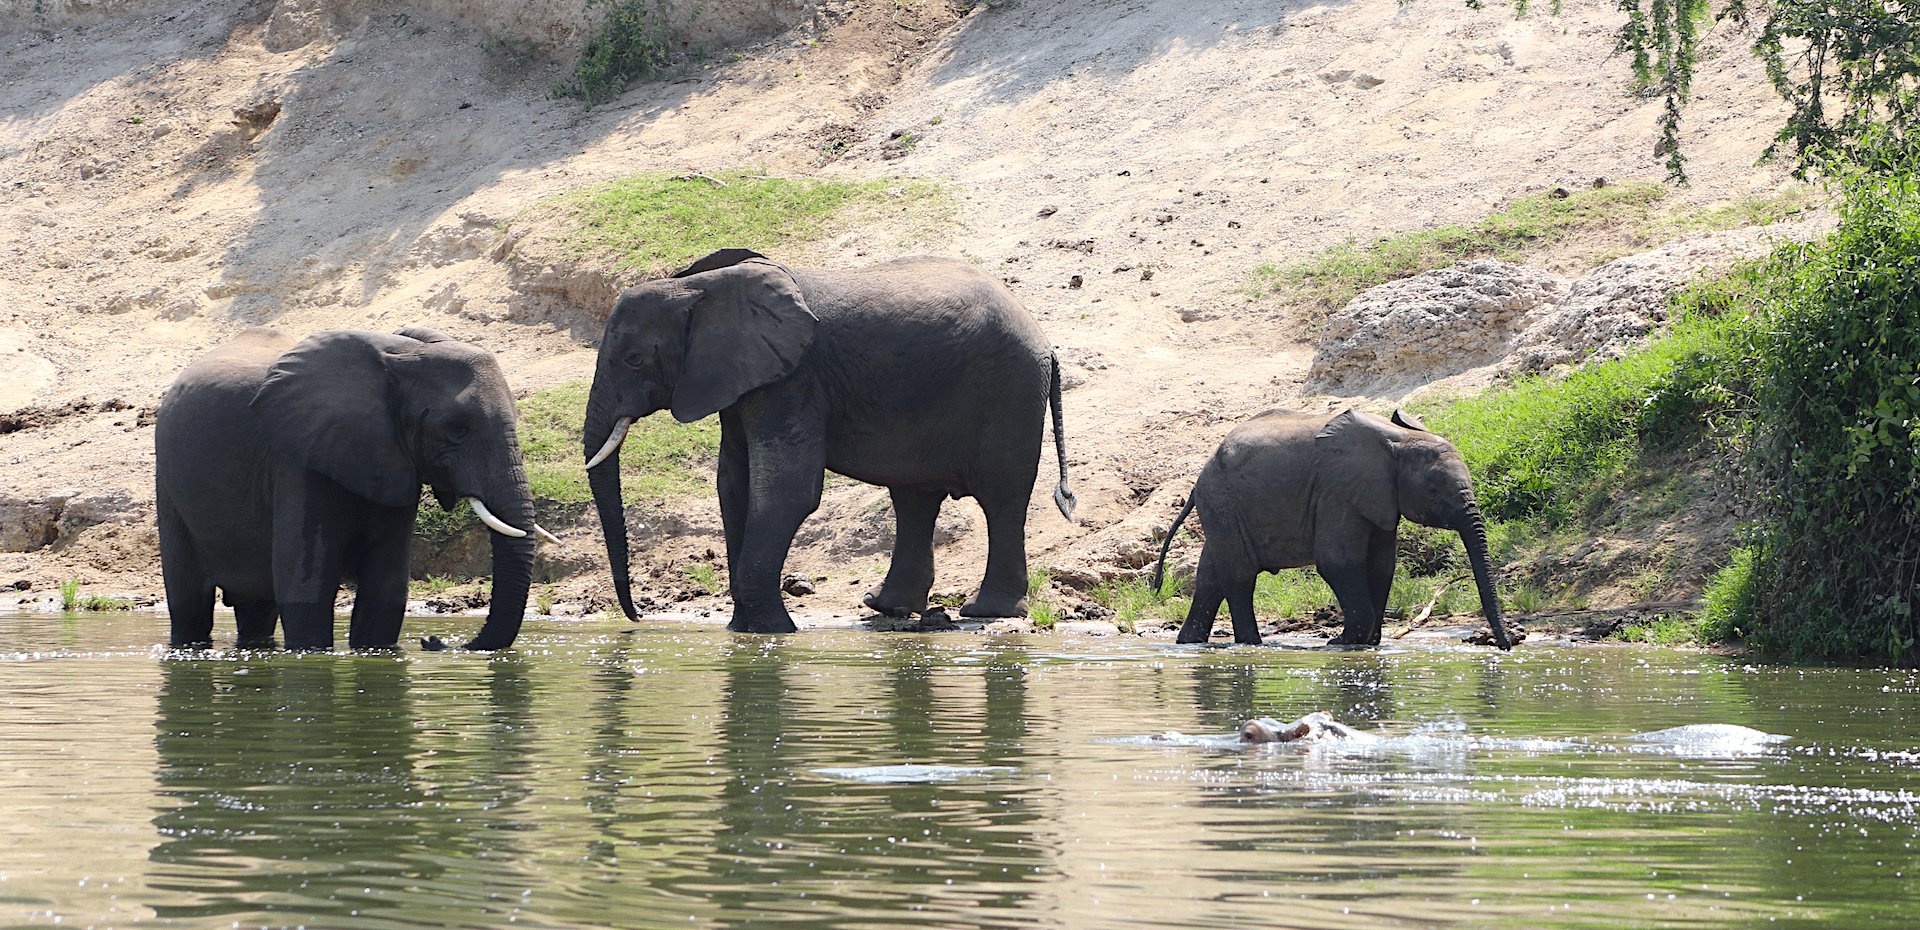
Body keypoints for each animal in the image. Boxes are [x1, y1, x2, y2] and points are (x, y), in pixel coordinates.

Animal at [153, 326, 560, 653]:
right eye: (457, 429)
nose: (431, 639)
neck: (398, 357)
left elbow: (385, 593)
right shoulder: (297, 460)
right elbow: (307, 590)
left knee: (255, 609)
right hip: (169, 484)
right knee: (189, 602)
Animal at [579, 249, 1082, 634]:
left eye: (635, 358)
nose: (637, 618)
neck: (700, 288)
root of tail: (1046, 342)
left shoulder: (795, 379)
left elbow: (787, 492)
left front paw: (769, 632)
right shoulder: (743, 383)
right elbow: (733, 486)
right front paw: (743, 631)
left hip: (1009, 390)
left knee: (1001, 498)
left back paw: (985, 610)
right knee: (915, 498)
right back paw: (887, 607)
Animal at [1152, 407, 1512, 653]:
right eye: (1434, 491)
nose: (1505, 645)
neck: (1398, 442)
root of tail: (1199, 477)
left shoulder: (1380, 498)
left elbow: (1381, 566)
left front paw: (1367, 644)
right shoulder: (1337, 490)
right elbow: (1338, 562)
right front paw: (1342, 643)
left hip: (1223, 510)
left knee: (1211, 574)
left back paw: (1189, 643)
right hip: (1222, 502)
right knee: (1239, 575)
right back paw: (1251, 645)